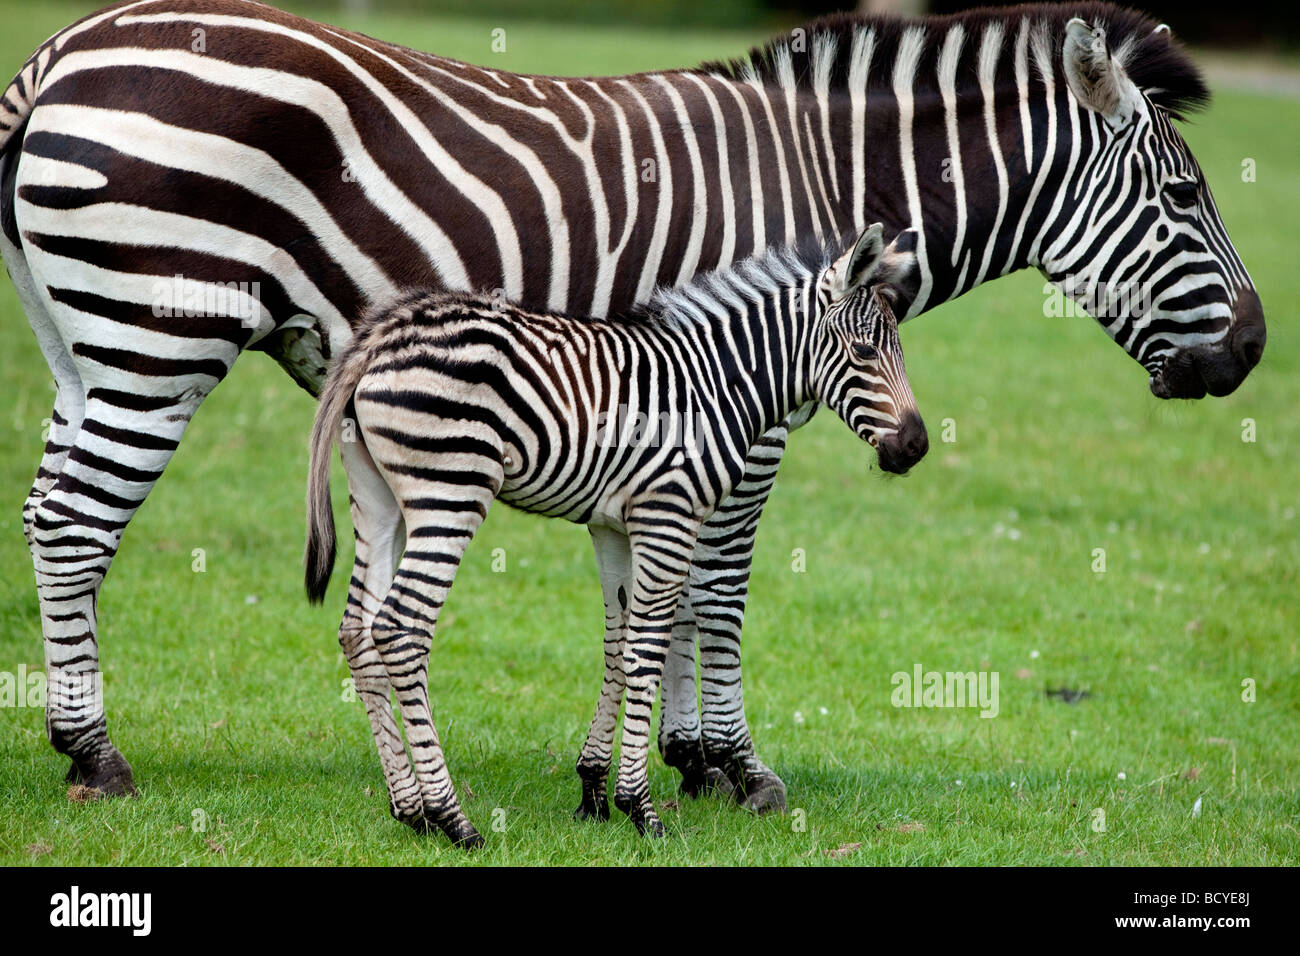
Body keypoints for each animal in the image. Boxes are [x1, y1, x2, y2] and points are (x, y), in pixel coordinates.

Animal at [301, 223, 925, 842]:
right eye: (865, 352)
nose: (917, 446)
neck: (714, 384)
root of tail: (382, 332)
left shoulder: (612, 527)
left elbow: (617, 645)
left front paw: (594, 792)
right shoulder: (668, 515)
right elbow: (647, 651)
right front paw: (640, 808)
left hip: (377, 498)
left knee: (357, 630)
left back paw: (410, 810)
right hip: (450, 489)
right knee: (401, 628)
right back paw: (453, 818)